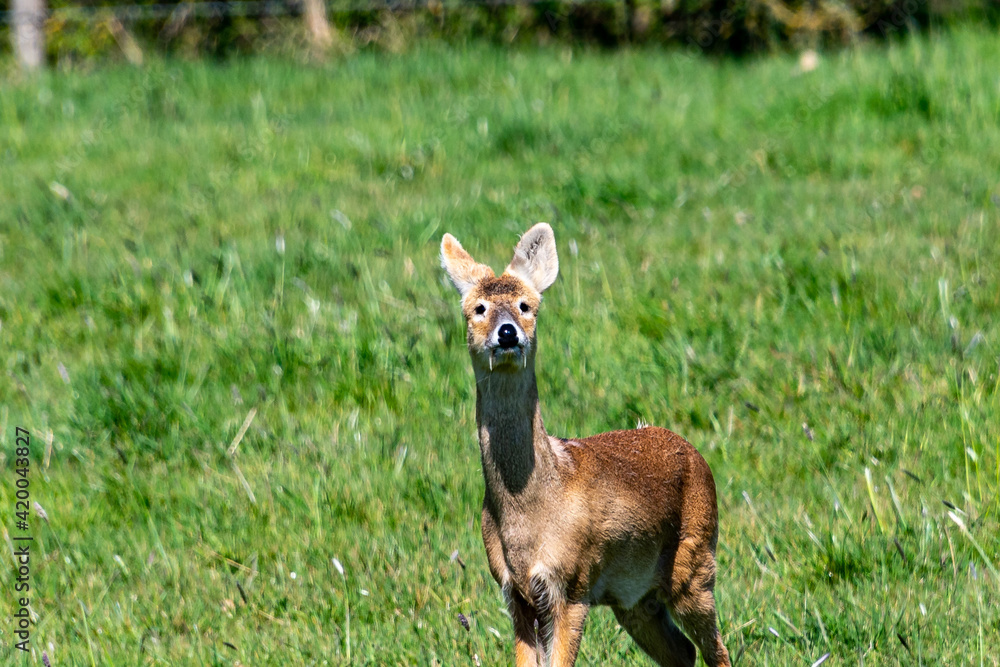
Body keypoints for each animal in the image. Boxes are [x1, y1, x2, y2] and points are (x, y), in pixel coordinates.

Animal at [440, 223, 731, 667]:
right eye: (478, 308)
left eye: (526, 305)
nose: (507, 332)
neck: (531, 509)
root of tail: (693, 452)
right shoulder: (514, 593)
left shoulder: (571, 584)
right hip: (634, 597)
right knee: (682, 651)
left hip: (696, 566)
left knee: (716, 649)